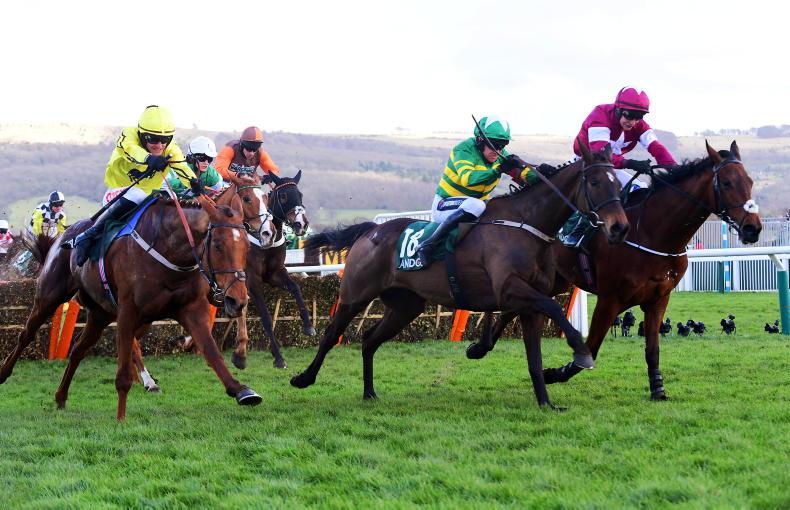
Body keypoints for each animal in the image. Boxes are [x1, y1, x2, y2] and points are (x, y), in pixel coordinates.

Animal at [0, 185, 260, 420]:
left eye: (247, 246)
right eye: (218, 245)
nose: (238, 299)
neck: (170, 249)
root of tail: (61, 237)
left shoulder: (192, 308)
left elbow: (211, 351)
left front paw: (242, 390)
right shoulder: (128, 312)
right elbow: (124, 372)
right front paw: (121, 418)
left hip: (100, 314)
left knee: (77, 351)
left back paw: (61, 397)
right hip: (49, 297)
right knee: (26, 335)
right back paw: (4, 373)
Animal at [231, 170, 312, 370]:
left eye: (300, 195)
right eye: (283, 196)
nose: (301, 224)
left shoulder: (274, 274)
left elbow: (296, 288)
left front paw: (308, 326)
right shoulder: (252, 281)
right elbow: (266, 318)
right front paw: (278, 357)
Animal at [290, 142, 630, 409]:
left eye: (618, 184)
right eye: (595, 182)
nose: (619, 227)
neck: (526, 223)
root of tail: (370, 230)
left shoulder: (528, 302)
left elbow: (534, 358)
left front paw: (546, 402)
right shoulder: (511, 289)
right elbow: (554, 309)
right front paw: (581, 351)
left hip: (406, 306)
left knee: (370, 340)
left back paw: (369, 393)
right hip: (355, 294)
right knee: (331, 334)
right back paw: (303, 378)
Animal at [468, 141, 763, 400]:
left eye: (749, 181)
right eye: (727, 183)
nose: (753, 228)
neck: (652, 233)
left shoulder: (658, 299)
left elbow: (652, 350)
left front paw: (658, 390)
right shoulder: (610, 299)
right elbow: (591, 346)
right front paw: (553, 373)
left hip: (555, 281)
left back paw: (480, 347)